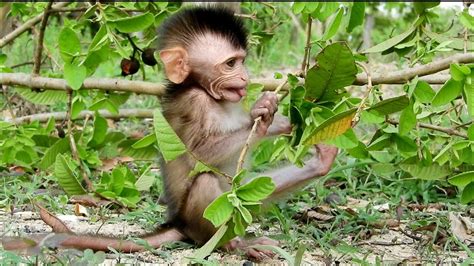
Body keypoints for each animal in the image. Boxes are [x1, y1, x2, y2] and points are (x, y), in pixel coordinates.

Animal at [1, 6, 338, 260]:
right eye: (230, 64)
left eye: (242, 61)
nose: (245, 78)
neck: (206, 91)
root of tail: (178, 224)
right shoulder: (194, 103)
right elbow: (199, 154)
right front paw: (268, 119)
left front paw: (268, 109)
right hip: (203, 222)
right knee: (205, 183)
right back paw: (235, 245)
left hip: (240, 206)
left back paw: (319, 164)